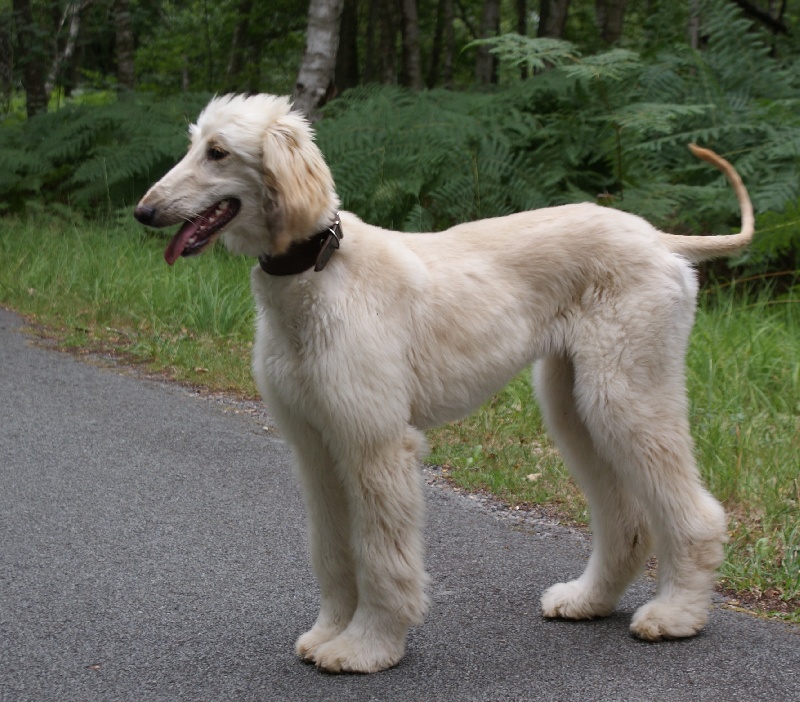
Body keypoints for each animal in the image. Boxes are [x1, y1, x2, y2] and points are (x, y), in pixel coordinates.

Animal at [134, 93, 754, 674]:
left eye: (218, 152)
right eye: (193, 145)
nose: (144, 211)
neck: (321, 271)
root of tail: (662, 240)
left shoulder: (376, 442)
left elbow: (380, 555)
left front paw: (367, 647)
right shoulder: (316, 443)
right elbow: (332, 550)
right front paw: (329, 632)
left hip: (626, 389)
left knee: (696, 513)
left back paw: (676, 614)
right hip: (572, 400)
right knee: (625, 518)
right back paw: (589, 600)